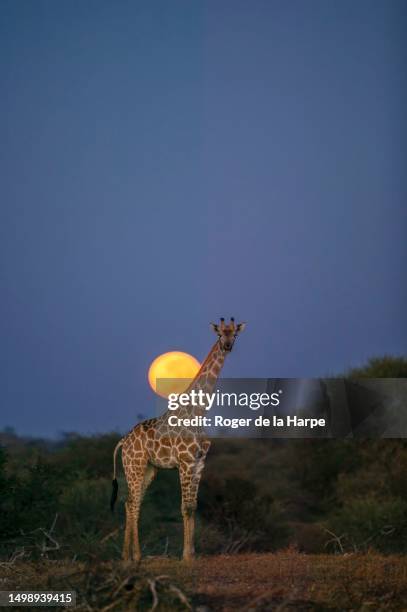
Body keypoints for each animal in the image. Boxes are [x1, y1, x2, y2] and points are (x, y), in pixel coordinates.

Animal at [110, 318, 247, 560]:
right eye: (220, 334)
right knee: (132, 502)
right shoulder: (185, 462)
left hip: (149, 468)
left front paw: (192, 553)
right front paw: (186, 555)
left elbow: (193, 506)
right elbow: (185, 506)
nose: (227, 345)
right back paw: (134, 557)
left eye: (235, 334)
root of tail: (123, 441)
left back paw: (129, 556)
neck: (199, 412)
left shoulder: (199, 462)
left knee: (133, 502)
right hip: (134, 465)